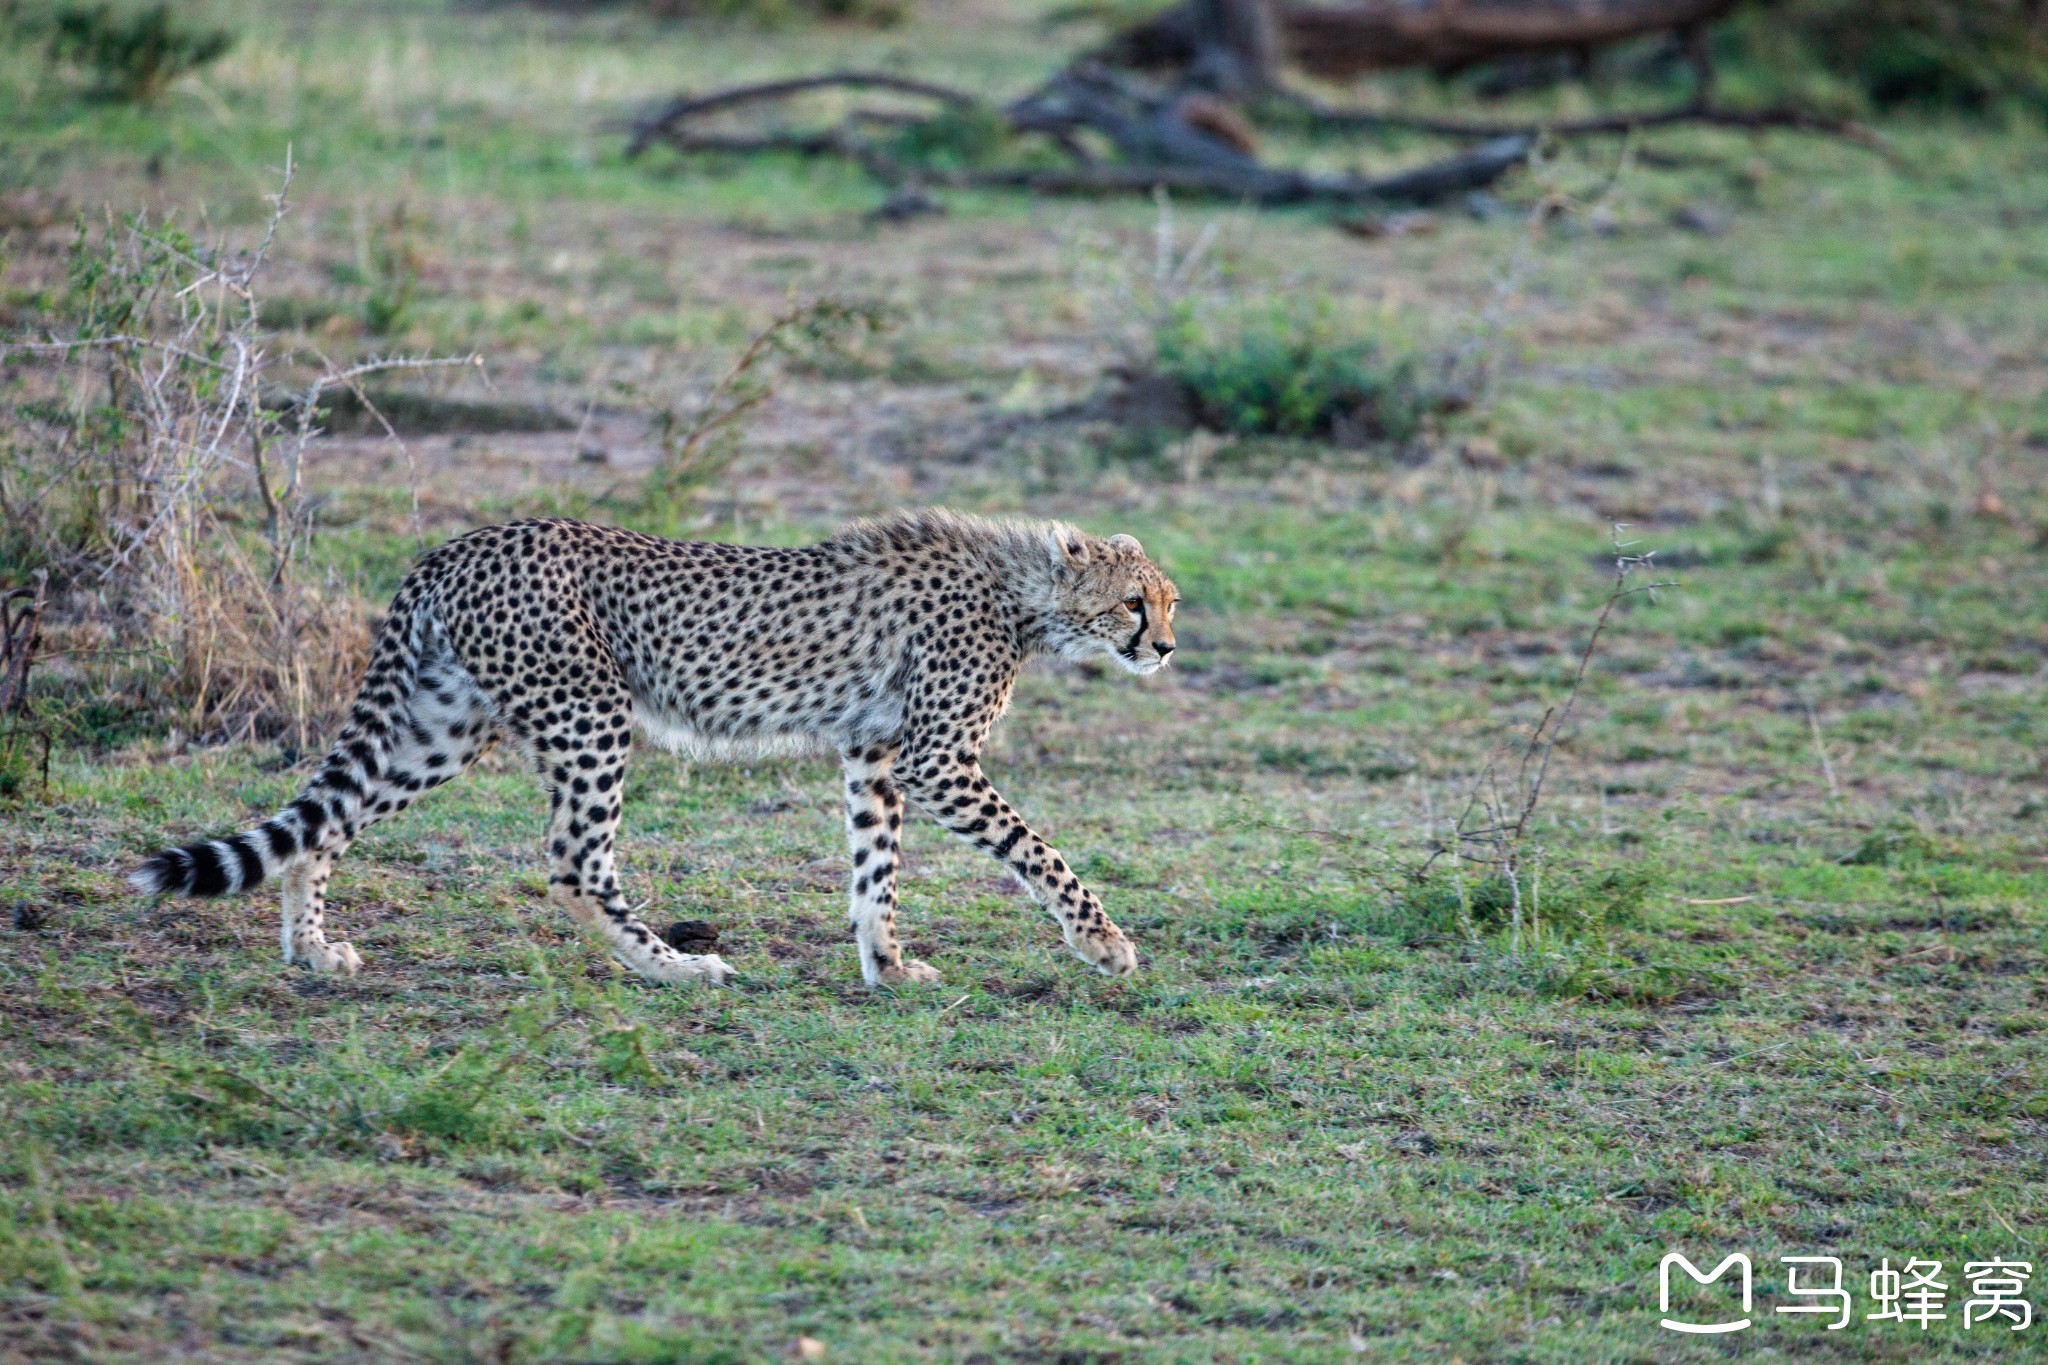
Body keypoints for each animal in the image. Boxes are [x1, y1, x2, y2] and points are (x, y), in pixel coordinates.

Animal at [128, 511, 1179, 994]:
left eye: (1168, 602)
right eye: (1136, 601)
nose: (1165, 647)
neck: (1022, 591)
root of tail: (464, 542)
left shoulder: (873, 752)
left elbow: (875, 868)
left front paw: (886, 964)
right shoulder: (934, 759)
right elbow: (1038, 848)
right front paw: (1103, 941)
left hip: (446, 722)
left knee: (330, 818)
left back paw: (309, 946)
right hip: (592, 713)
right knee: (572, 863)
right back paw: (674, 965)